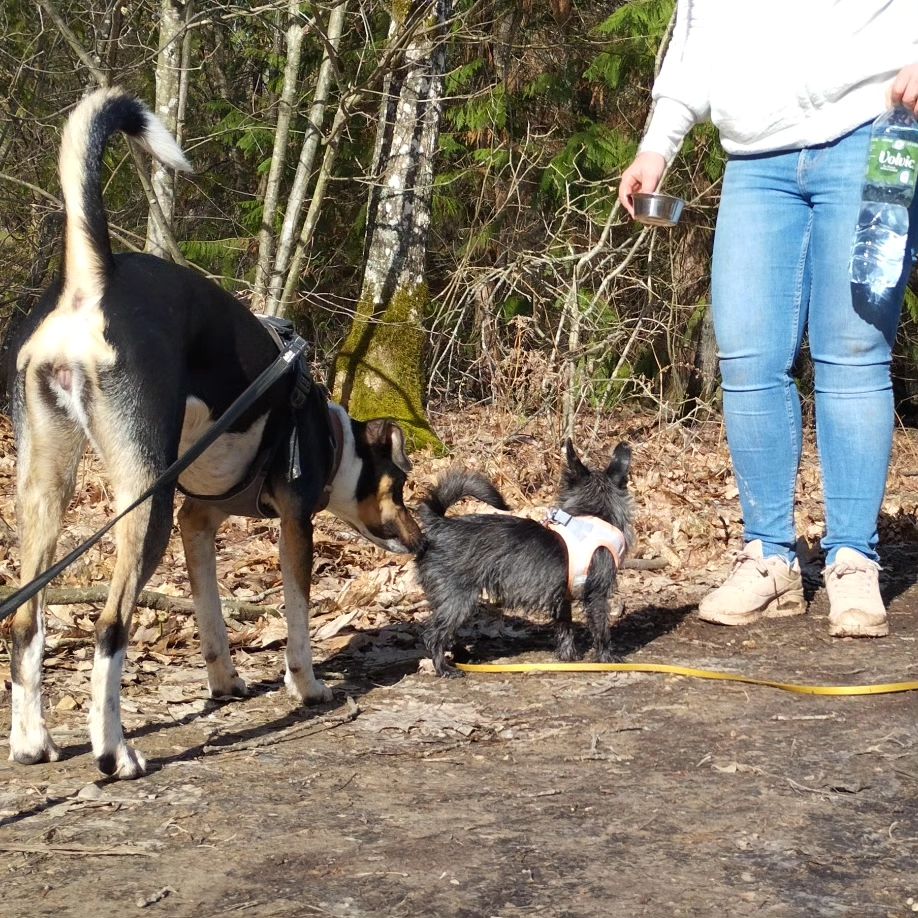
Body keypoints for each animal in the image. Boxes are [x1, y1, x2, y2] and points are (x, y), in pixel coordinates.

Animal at [7, 88, 422, 776]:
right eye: (400, 485)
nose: (421, 541)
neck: (327, 428)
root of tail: (95, 280)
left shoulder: (195, 521)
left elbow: (211, 618)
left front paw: (225, 682)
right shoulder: (293, 522)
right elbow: (298, 620)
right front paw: (308, 687)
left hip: (46, 488)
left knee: (24, 617)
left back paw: (30, 742)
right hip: (142, 505)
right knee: (109, 627)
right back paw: (114, 752)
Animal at [416, 442, 632, 680]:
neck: (593, 516)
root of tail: (439, 525)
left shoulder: (563, 596)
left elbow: (565, 626)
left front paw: (568, 656)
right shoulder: (598, 594)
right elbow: (601, 628)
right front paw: (607, 658)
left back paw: (461, 656)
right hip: (459, 600)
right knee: (434, 635)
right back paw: (444, 668)